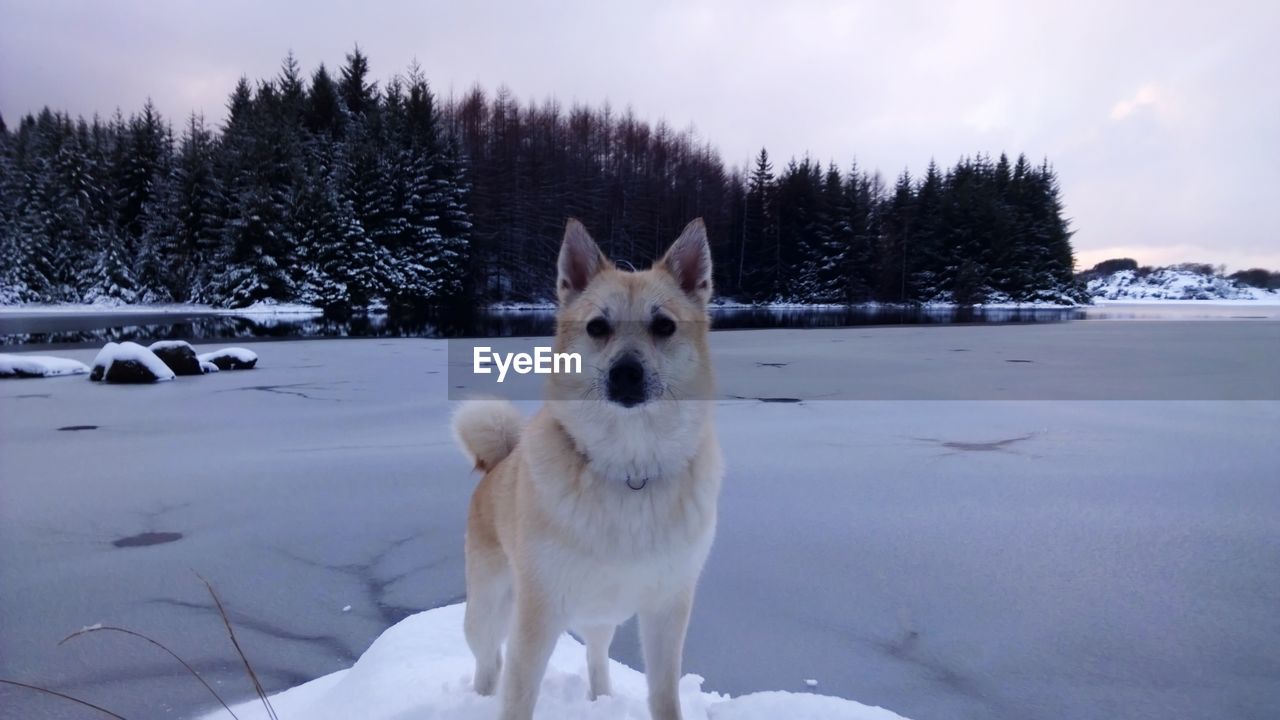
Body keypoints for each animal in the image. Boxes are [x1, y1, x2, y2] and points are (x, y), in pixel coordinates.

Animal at [455, 217, 727, 717]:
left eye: (664, 325)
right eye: (598, 326)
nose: (626, 372)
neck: (629, 469)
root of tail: (497, 461)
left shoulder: (667, 609)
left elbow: (664, 696)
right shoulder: (537, 612)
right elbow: (517, 694)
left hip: (601, 615)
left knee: (596, 657)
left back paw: (601, 699)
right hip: (487, 608)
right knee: (488, 662)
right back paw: (479, 697)